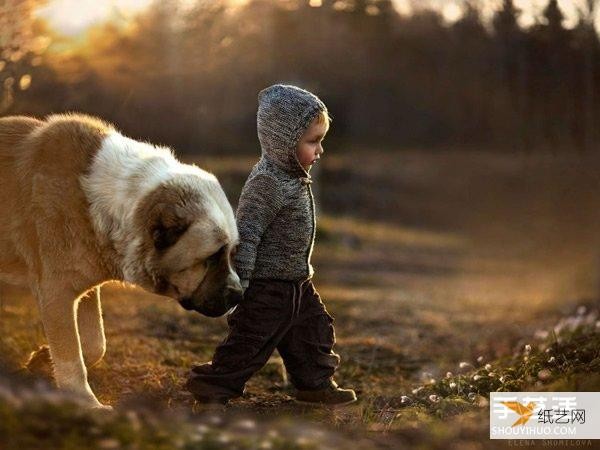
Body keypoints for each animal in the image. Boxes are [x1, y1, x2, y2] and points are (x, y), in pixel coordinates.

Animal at [0, 113, 244, 408]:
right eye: (212, 257)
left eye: (231, 253)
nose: (239, 294)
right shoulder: (55, 291)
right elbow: (71, 354)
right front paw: (86, 403)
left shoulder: (82, 287)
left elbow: (94, 343)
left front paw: (43, 359)